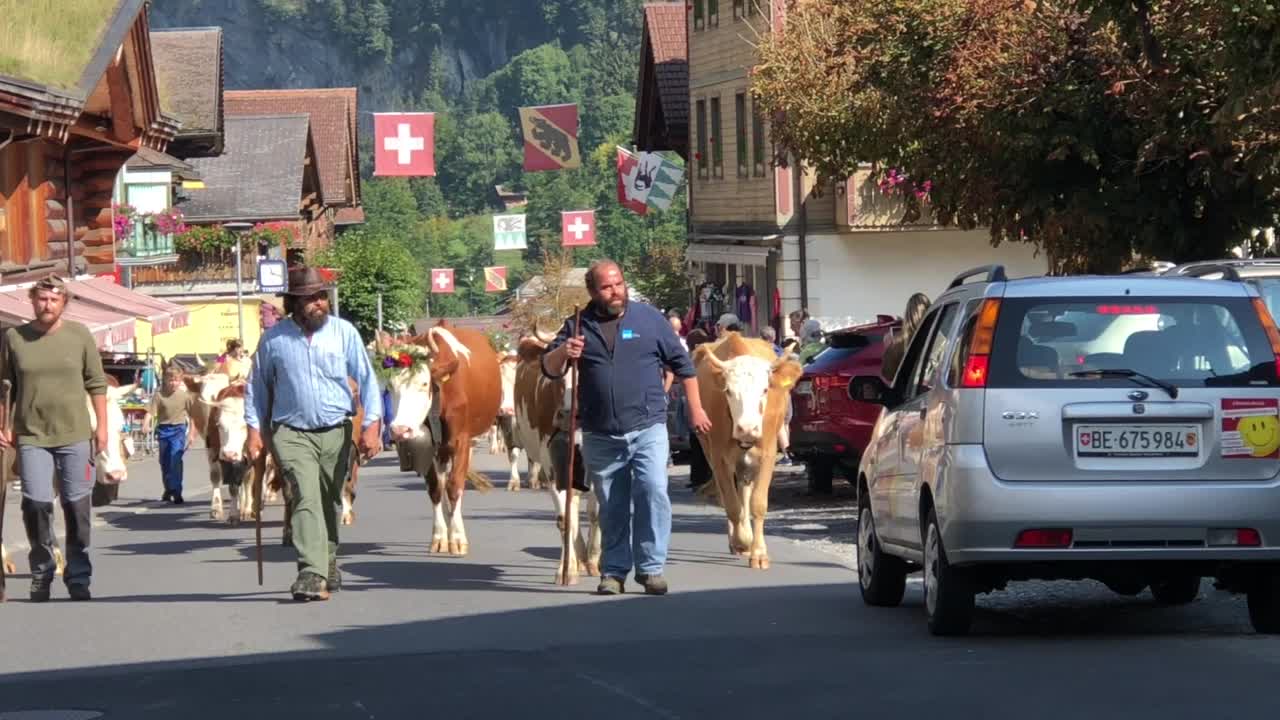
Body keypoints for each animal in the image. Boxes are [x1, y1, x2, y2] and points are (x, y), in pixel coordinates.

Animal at [509, 333, 599, 579]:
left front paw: (594, 560)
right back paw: (578, 558)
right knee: (573, 508)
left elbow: (597, 513)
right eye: (557, 377)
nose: (567, 413)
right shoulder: (551, 467)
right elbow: (564, 519)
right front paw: (566, 569)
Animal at [696, 330, 803, 566]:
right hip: (709, 449)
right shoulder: (719, 458)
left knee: (744, 490)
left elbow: (758, 503)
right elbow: (731, 504)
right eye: (727, 391)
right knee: (726, 496)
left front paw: (759, 552)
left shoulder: (768, 454)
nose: (747, 428)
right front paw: (742, 541)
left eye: (764, 389)